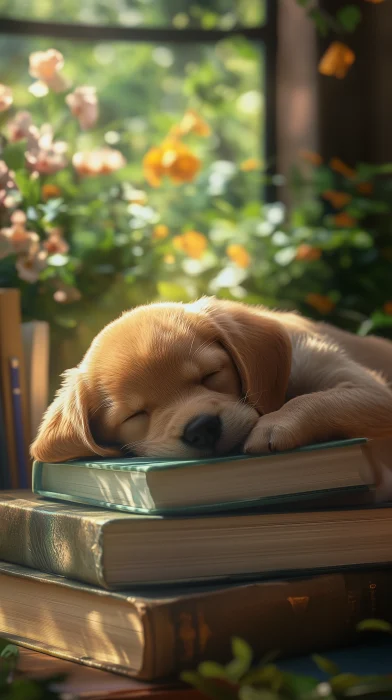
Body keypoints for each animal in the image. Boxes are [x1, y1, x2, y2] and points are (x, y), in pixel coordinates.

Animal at [29, 296, 392, 464]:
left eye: (211, 375)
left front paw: (276, 423)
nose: (202, 429)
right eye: (135, 415)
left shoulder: (372, 390)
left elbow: (315, 398)